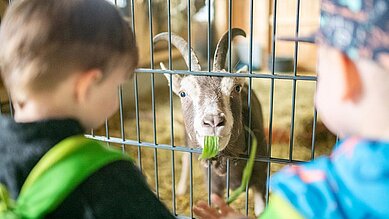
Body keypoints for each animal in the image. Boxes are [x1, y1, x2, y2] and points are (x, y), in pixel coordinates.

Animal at [153, 27, 268, 216]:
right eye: (183, 93)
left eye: (236, 88)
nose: (213, 121)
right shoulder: (212, 185)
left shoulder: (260, 175)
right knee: (186, 157)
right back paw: (181, 188)